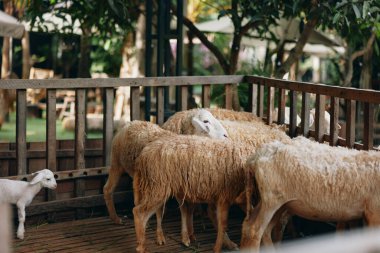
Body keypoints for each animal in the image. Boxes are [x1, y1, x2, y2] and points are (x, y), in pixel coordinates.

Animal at [102, 107, 229, 245]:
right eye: (206, 121)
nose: (226, 136)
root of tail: (132, 122)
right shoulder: (169, 184)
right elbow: (173, 210)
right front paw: (172, 237)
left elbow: (187, 208)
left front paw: (189, 235)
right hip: (117, 163)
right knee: (108, 189)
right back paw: (115, 218)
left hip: (138, 175)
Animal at [242, 135, 380, 250]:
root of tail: (256, 156)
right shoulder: (374, 213)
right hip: (271, 200)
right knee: (254, 230)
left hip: (278, 203)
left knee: (259, 229)